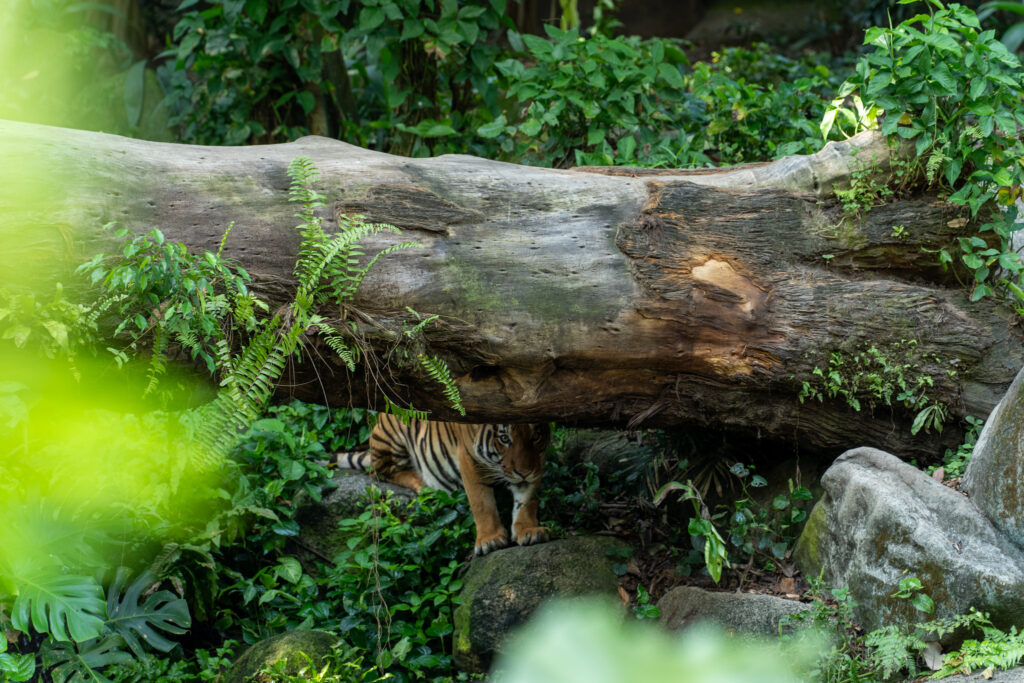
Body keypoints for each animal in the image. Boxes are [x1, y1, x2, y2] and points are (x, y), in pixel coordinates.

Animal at [335, 414, 551, 556]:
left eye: (535, 437)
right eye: (504, 439)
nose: (524, 472)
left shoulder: (538, 462)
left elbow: (527, 501)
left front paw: (529, 531)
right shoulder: (470, 460)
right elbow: (482, 503)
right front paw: (490, 540)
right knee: (380, 472)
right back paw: (424, 485)